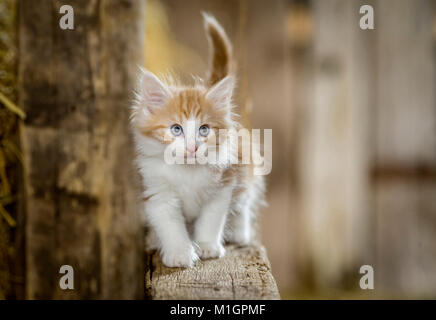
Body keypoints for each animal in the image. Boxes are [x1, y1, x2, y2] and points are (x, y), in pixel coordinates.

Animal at [130, 12, 266, 268]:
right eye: (176, 129)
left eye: (204, 130)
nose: (192, 147)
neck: (187, 170)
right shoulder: (158, 192)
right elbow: (170, 226)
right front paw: (179, 254)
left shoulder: (223, 186)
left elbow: (211, 220)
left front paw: (207, 246)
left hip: (245, 166)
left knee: (245, 199)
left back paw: (238, 232)